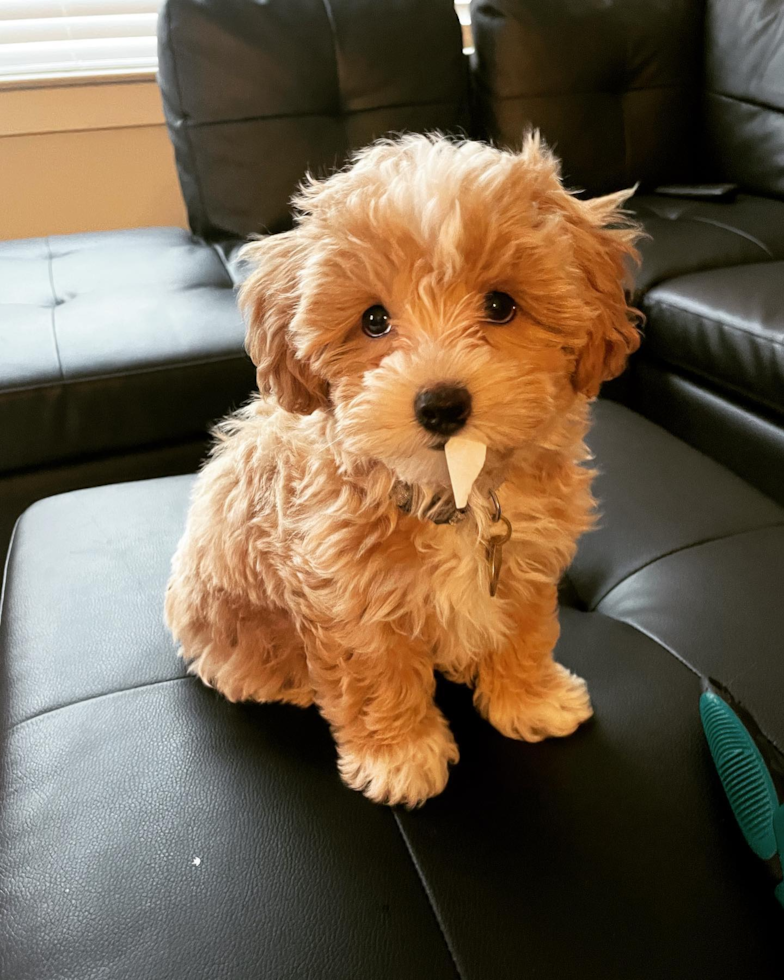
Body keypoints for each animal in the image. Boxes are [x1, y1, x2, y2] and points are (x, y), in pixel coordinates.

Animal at [164, 136, 636, 812]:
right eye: (373, 321)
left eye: (501, 305)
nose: (441, 404)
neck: (451, 493)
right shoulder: (347, 595)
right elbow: (375, 675)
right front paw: (401, 758)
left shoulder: (525, 560)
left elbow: (522, 630)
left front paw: (532, 699)